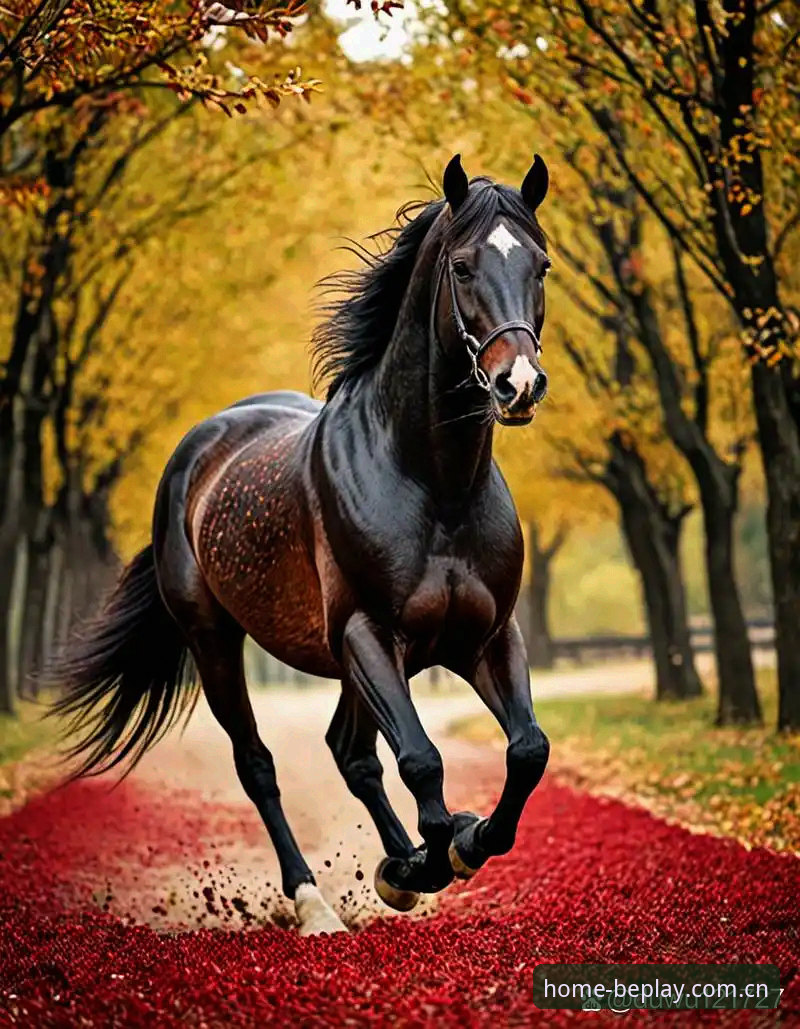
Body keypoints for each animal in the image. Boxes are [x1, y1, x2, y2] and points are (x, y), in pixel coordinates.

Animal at [52, 153, 552, 936]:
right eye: (464, 266)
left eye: (541, 264)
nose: (518, 383)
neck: (432, 481)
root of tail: (199, 448)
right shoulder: (369, 635)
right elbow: (421, 761)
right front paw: (430, 857)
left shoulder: (486, 636)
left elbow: (526, 750)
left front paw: (453, 848)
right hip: (218, 642)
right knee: (260, 764)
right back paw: (314, 898)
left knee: (351, 755)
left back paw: (397, 867)